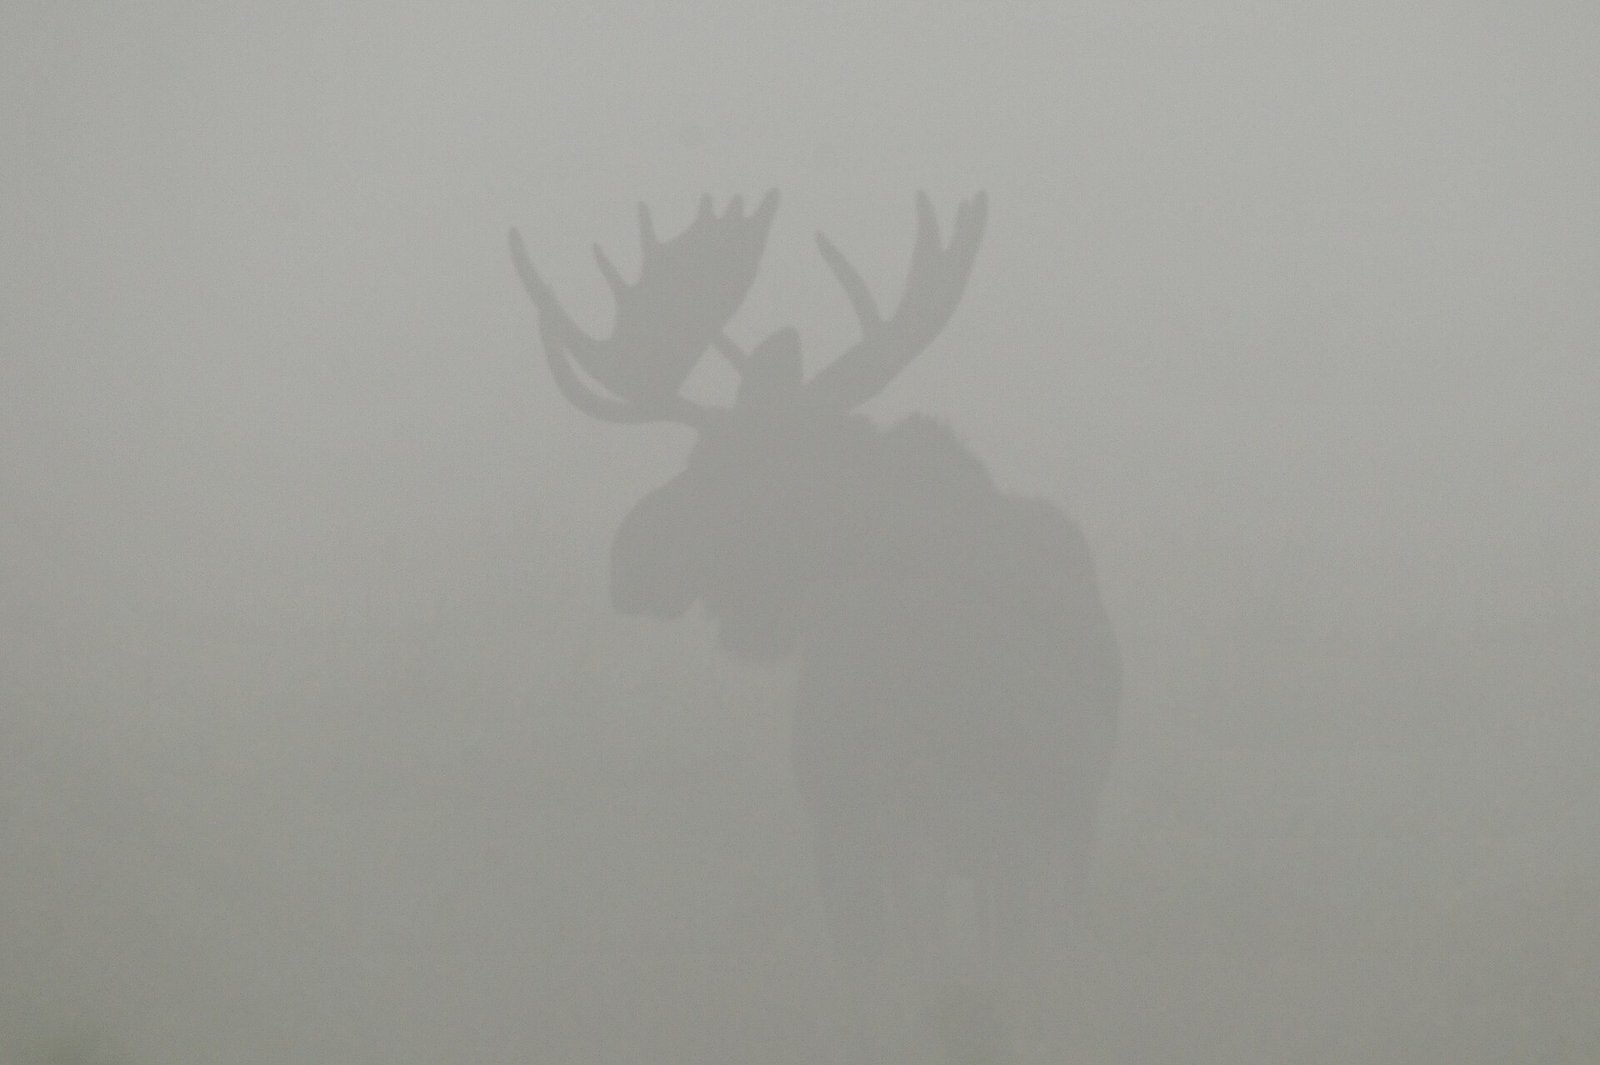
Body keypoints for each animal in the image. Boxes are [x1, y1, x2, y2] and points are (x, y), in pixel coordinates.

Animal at [509, 191, 1121, 1062]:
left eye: (714, 461)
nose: (627, 556)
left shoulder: (846, 832)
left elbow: (876, 997)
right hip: (1049, 828)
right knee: (1034, 985)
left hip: (930, 823)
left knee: (947, 984)